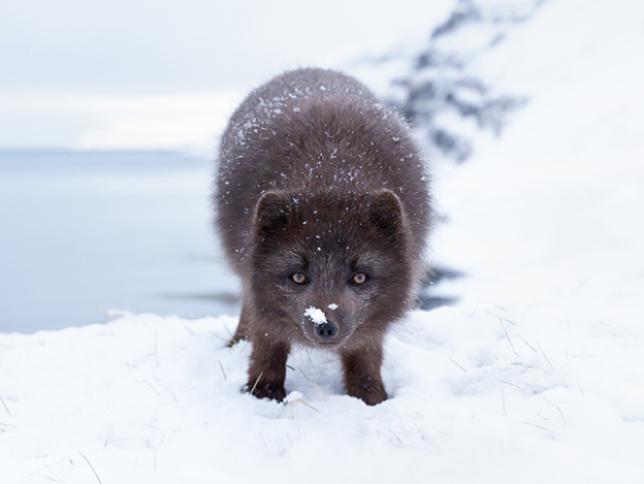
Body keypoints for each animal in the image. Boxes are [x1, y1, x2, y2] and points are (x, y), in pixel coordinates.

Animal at [215, 68, 430, 405]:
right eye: (298, 277)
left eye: (359, 277)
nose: (325, 327)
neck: (330, 174)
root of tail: (309, 69)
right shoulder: (260, 291)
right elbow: (268, 340)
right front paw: (263, 393)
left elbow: (366, 352)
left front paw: (370, 398)